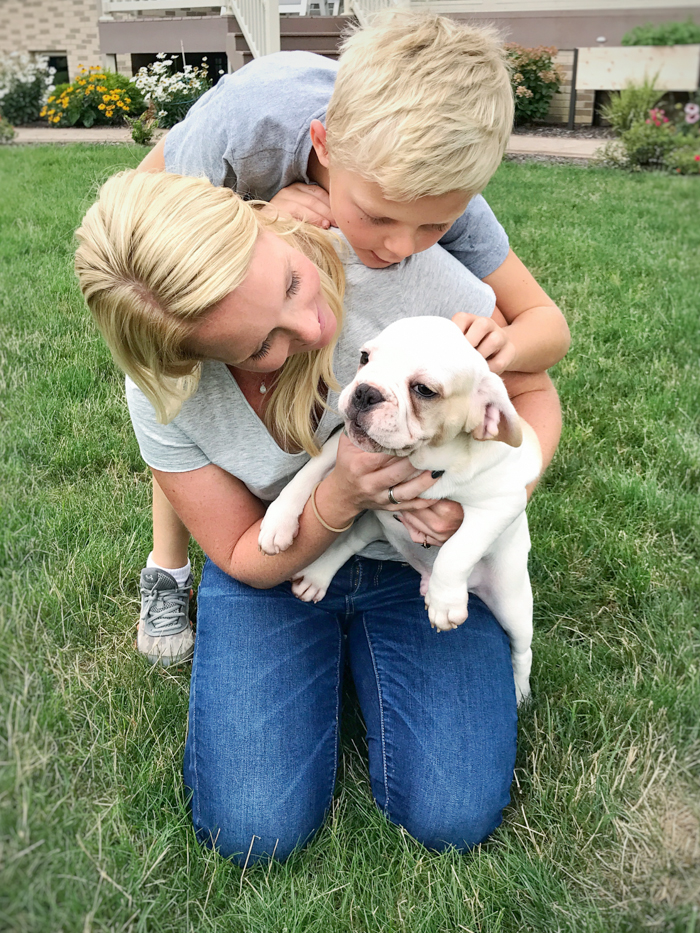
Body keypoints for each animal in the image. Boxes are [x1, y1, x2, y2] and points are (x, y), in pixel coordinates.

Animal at [258, 316, 540, 704]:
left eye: (424, 390)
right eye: (365, 357)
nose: (365, 391)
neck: (423, 458)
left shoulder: (500, 504)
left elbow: (457, 549)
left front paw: (445, 601)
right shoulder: (341, 444)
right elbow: (307, 475)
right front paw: (278, 521)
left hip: (512, 602)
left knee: (522, 648)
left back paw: (519, 688)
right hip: (376, 525)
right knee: (348, 542)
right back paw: (317, 576)